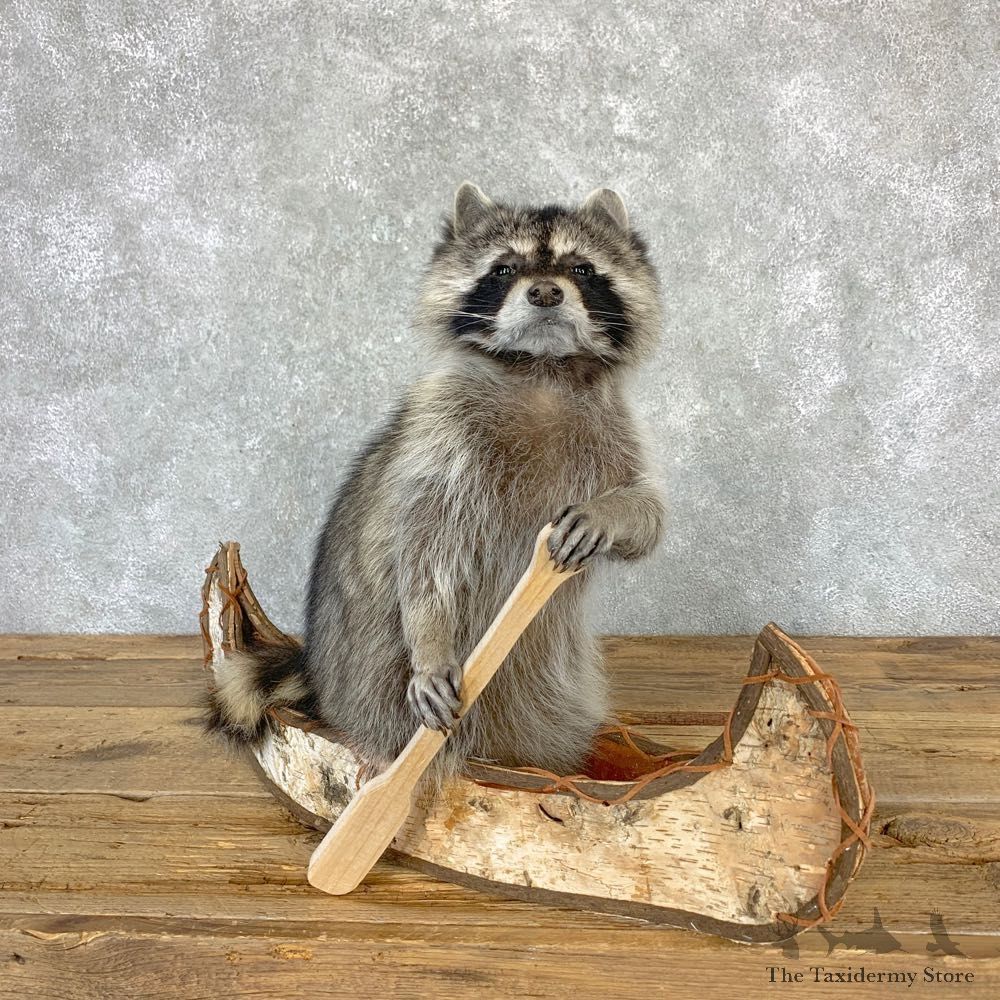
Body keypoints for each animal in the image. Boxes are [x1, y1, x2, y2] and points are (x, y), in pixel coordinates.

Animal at [206, 183, 665, 778]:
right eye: (504, 269)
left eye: (581, 268)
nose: (544, 292)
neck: (541, 369)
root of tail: (321, 676)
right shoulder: (442, 435)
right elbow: (427, 552)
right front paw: (430, 644)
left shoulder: (616, 428)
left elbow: (650, 513)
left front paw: (612, 513)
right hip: (375, 683)